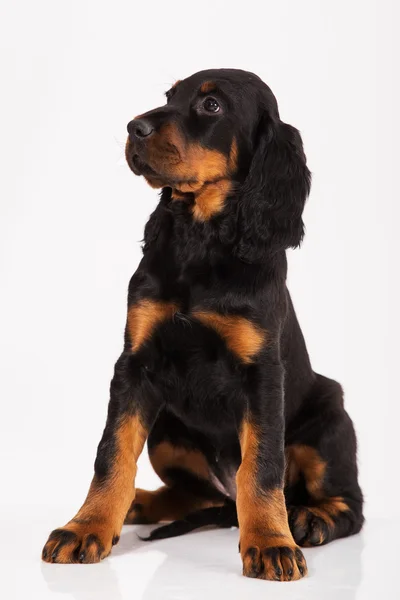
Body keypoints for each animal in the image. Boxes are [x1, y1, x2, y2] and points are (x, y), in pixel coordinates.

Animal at [42, 68, 364, 580]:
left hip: (331, 419)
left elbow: (261, 466)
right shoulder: (134, 365)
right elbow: (112, 453)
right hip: (167, 429)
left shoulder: (262, 375)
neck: (200, 239)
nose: (134, 127)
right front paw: (86, 527)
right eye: (169, 95)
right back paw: (137, 504)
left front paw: (270, 541)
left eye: (211, 106)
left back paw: (308, 519)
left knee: (348, 503)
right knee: (197, 493)